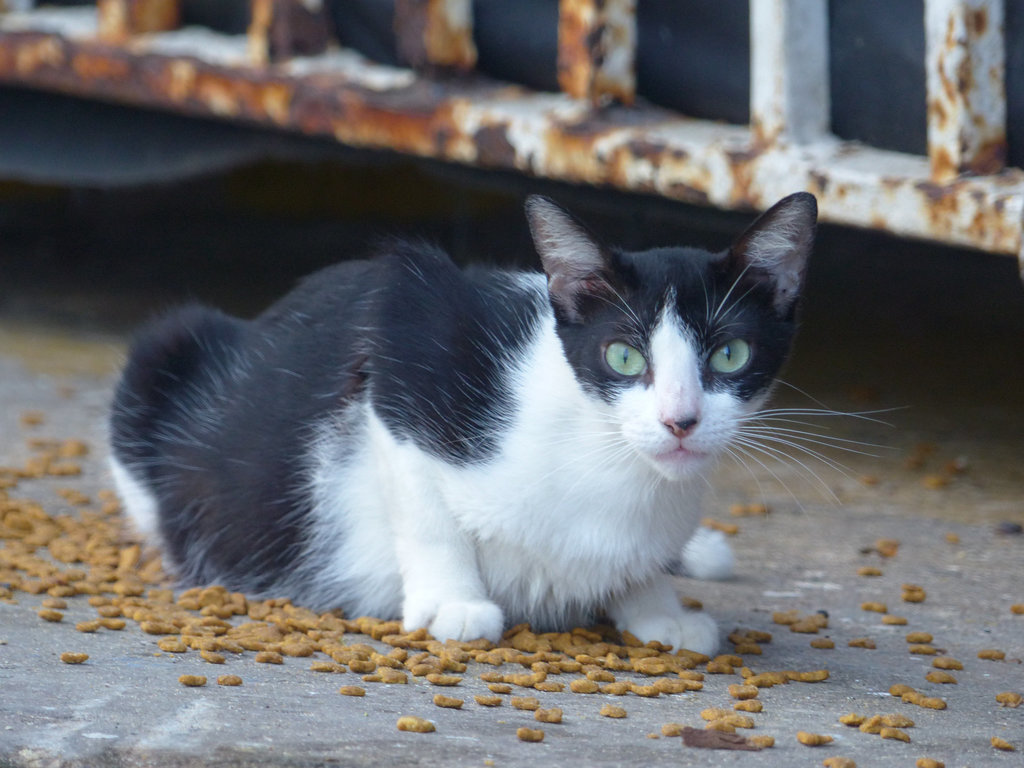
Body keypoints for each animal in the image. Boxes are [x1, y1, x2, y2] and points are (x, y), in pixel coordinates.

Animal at [108, 192, 819, 655]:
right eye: (624, 356)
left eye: (730, 354)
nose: (680, 422)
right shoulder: (404, 346)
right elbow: (425, 509)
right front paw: (453, 601)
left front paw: (656, 606)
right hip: (160, 361)